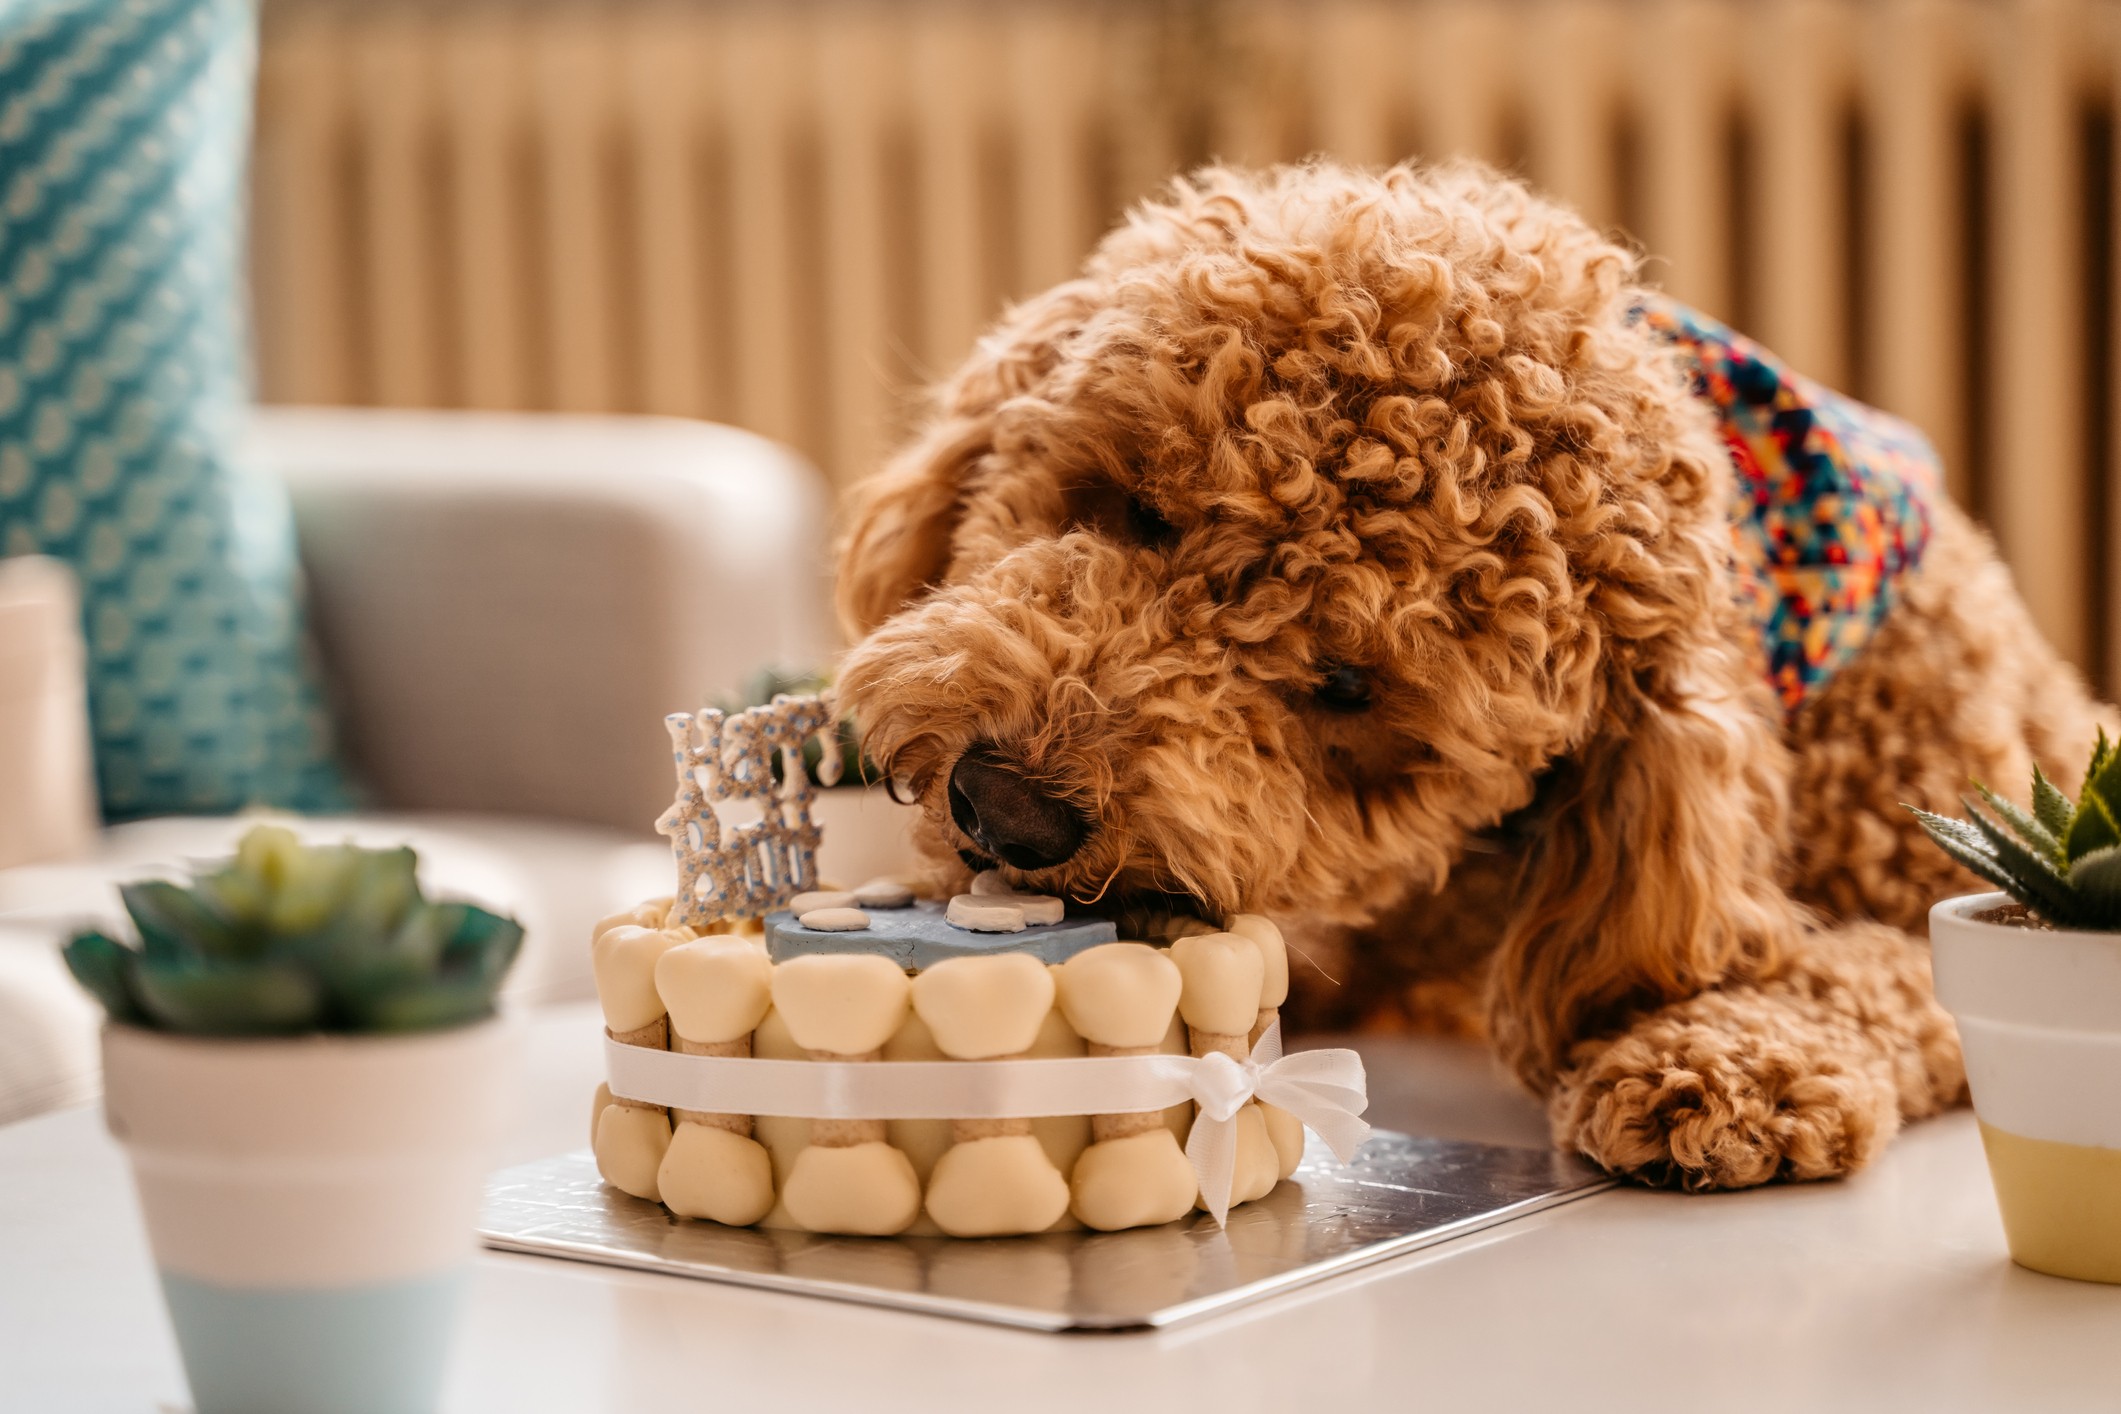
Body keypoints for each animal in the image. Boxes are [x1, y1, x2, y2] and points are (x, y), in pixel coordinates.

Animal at [827, 157, 2104, 1195]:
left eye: (1347, 686)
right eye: (1136, 507)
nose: (1008, 805)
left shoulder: (1932, 896)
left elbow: (1880, 972)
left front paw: (1725, 1060)